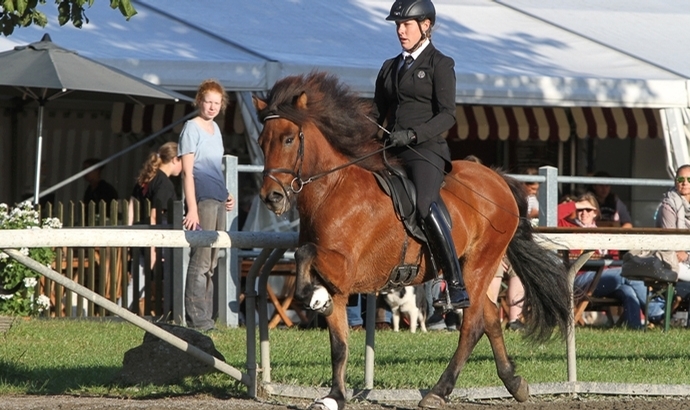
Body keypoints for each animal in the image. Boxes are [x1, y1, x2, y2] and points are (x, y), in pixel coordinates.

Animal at [253, 71, 568, 410]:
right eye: (261, 142)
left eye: (288, 138)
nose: (271, 197)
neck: (332, 191)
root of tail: (497, 179)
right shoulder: (338, 283)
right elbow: (338, 344)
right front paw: (334, 396)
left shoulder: (346, 268)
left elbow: (305, 253)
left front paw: (314, 297)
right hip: (474, 270)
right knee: (490, 317)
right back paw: (514, 382)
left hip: (480, 264)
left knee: (472, 326)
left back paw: (439, 390)